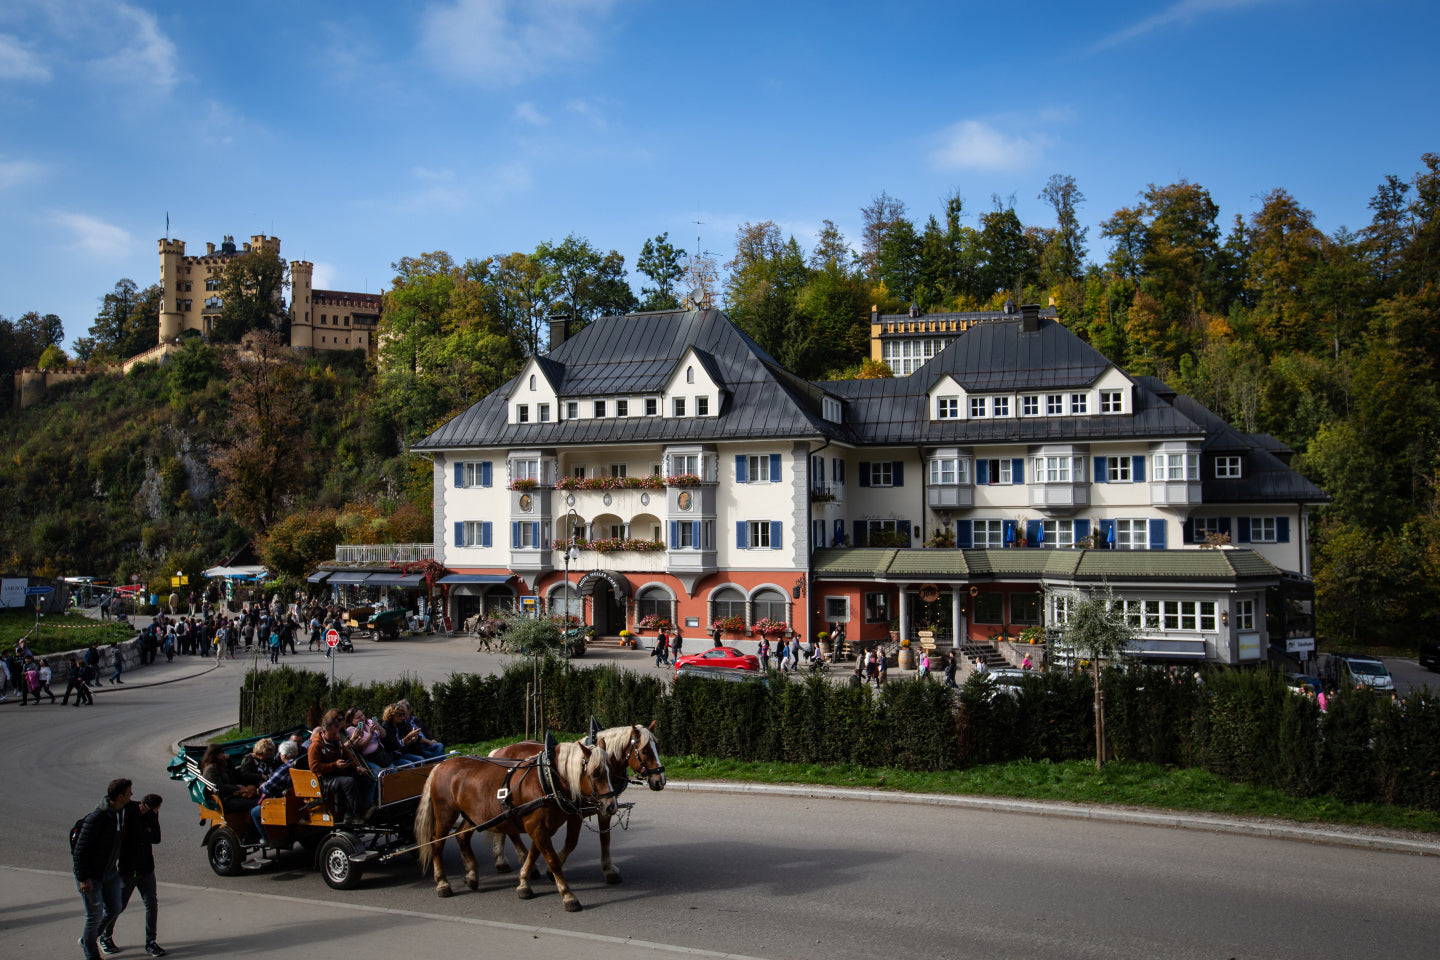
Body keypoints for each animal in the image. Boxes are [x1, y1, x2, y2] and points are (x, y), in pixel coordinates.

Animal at [417, 742, 619, 915]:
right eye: (596, 773)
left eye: (610, 770)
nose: (611, 806)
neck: (547, 780)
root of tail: (440, 765)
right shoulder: (536, 827)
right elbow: (552, 860)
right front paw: (568, 896)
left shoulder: (543, 828)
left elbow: (533, 854)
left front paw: (523, 884)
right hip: (445, 815)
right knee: (436, 843)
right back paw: (442, 883)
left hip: (472, 816)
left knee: (462, 837)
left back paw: (472, 876)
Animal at [483, 719, 662, 886]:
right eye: (645, 751)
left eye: (658, 748)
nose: (660, 780)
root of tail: (500, 750)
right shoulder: (576, 813)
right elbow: (571, 842)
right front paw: (551, 871)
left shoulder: (605, 807)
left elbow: (605, 838)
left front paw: (609, 869)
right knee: (510, 830)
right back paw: (521, 862)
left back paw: (503, 861)